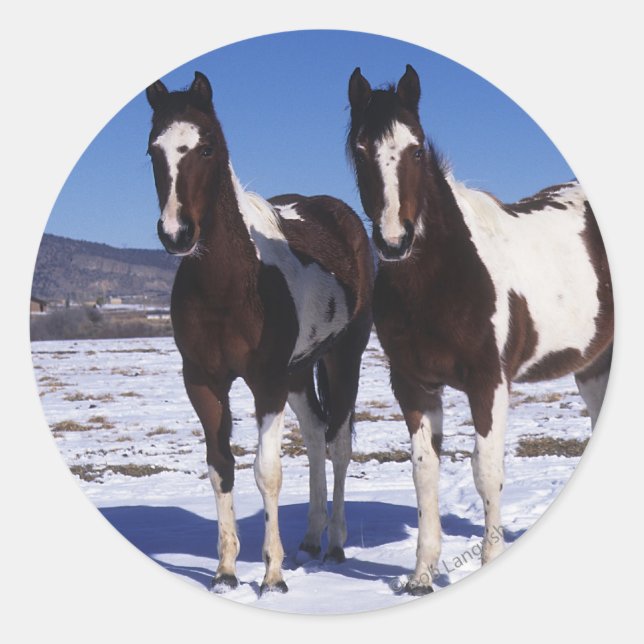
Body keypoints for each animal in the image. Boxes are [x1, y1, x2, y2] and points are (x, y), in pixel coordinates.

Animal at [145, 72, 374, 594]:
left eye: (207, 147)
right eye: (153, 151)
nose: (176, 233)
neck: (231, 284)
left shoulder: (266, 382)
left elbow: (266, 471)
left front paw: (272, 576)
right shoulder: (203, 383)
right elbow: (221, 468)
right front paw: (226, 571)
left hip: (342, 359)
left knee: (338, 445)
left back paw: (334, 544)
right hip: (300, 371)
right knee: (315, 436)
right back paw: (309, 538)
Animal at [347, 64, 613, 595]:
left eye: (416, 148)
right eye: (360, 150)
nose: (394, 242)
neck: (444, 276)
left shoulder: (489, 381)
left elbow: (487, 471)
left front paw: (490, 561)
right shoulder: (413, 385)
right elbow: (424, 473)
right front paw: (421, 576)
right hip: (594, 366)